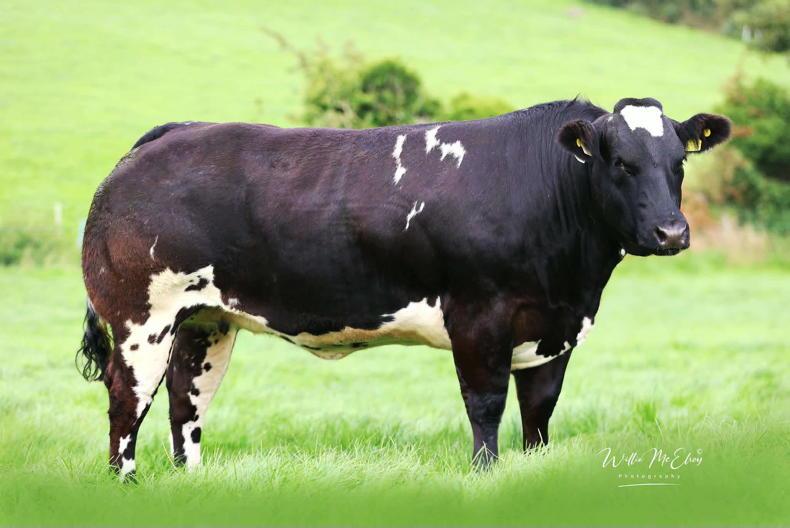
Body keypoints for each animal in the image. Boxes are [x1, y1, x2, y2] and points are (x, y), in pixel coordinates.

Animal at [77, 97, 730, 478]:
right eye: (619, 161)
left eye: (679, 161)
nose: (672, 231)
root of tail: (173, 132)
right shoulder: (479, 316)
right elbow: (486, 405)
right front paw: (485, 476)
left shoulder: (552, 329)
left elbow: (539, 410)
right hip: (141, 318)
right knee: (126, 399)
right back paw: (126, 483)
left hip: (204, 320)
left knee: (186, 399)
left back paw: (190, 480)